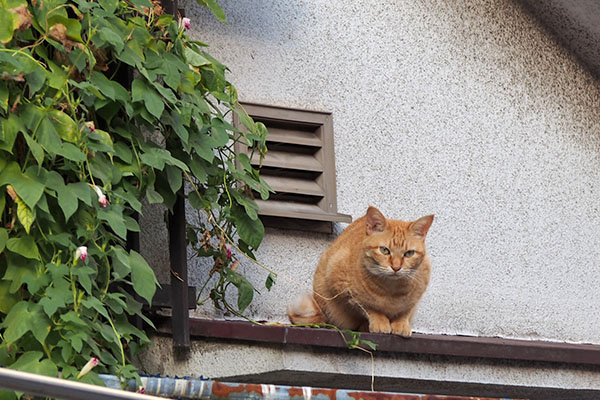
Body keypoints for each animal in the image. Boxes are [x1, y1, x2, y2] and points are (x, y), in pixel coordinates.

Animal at [286, 208, 432, 336]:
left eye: (409, 253)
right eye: (384, 250)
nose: (396, 267)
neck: (392, 290)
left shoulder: (417, 295)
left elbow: (405, 311)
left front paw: (401, 325)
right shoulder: (343, 287)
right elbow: (368, 307)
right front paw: (380, 321)